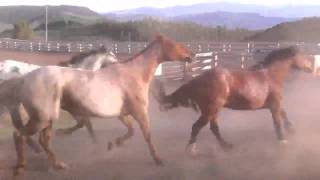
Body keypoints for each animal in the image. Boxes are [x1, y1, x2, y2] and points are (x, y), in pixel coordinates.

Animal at [0, 34, 192, 176]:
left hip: (47, 119)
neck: (133, 74)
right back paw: (20, 167)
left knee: (43, 140)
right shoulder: (140, 112)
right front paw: (158, 160)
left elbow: (130, 131)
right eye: (174, 44)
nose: (190, 55)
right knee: (19, 135)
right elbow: (147, 134)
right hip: (42, 118)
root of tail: (24, 79)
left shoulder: (122, 114)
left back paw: (59, 164)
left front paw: (112, 144)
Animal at [159, 46, 314, 155]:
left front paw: (292, 129)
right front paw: (283, 141)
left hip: (213, 111)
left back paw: (227, 146)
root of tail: (199, 79)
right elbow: (277, 122)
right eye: (303, 56)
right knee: (196, 127)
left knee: (213, 128)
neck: (271, 75)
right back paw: (191, 149)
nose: (312, 68)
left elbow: (284, 114)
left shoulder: (275, 104)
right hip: (211, 110)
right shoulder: (274, 105)